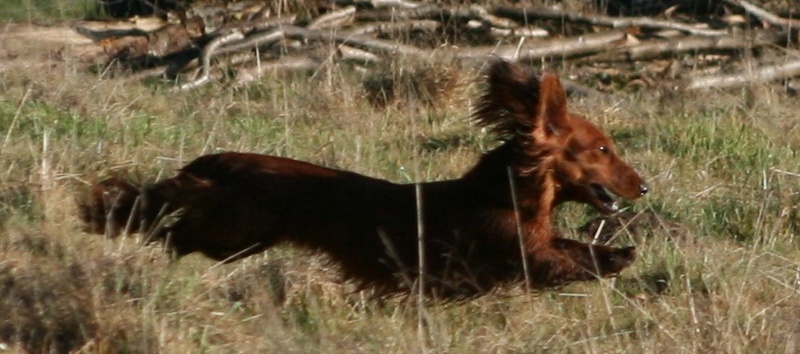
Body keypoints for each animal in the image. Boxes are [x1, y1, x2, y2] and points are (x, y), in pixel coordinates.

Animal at [78, 60, 648, 298]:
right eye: (602, 149)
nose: (643, 187)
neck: (508, 194)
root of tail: (216, 160)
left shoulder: (535, 242)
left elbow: (574, 247)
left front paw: (618, 252)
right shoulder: (517, 254)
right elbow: (567, 260)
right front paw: (620, 257)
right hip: (234, 233)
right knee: (171, 226)